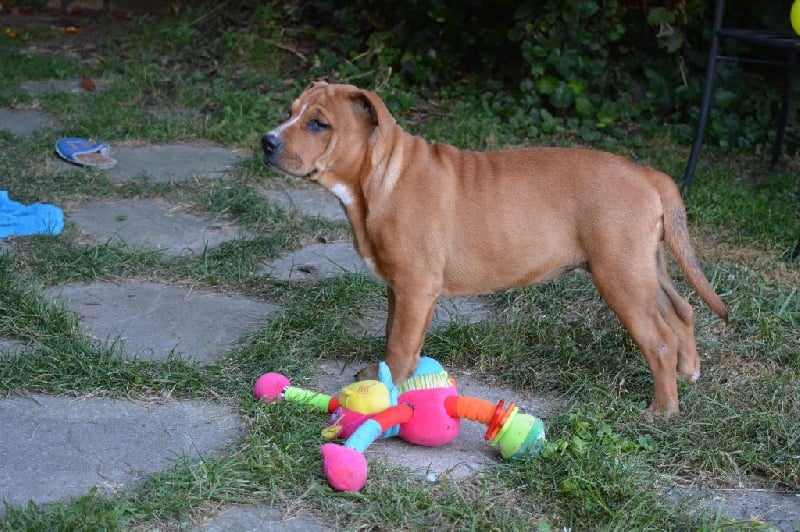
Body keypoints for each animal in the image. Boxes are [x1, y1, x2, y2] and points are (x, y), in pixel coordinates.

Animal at [261, 81, 727, 416]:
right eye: (289, 113)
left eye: (318, 124)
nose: (267, 140)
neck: (378, 177)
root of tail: (648, 173)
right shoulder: (399, 288)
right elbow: (395, 337)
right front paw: (386, 375)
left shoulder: (414, 287)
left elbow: (400, 344)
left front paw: (389, 392)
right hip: (645, 266)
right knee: (681, 310)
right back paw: (690, 373)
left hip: (620, 276)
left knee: (660, 340)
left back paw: (661, 410)